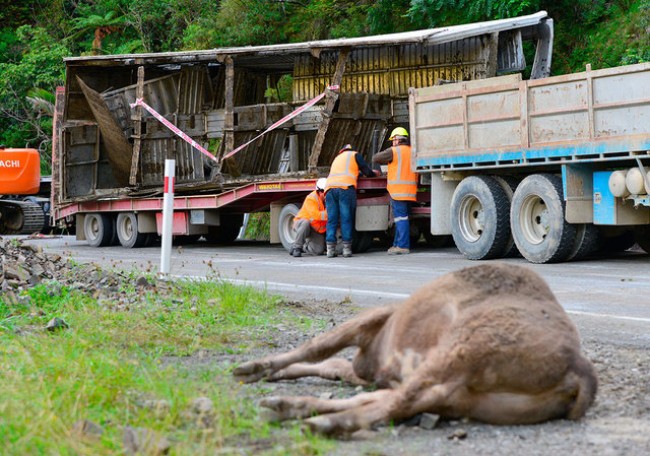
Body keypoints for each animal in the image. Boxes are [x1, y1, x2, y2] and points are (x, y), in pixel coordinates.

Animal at [234, 264, 596, 434]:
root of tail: (578, 368)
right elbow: (331, 364)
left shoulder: (372, 320)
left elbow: (319, 347)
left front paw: (253, 368)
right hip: (472, 398)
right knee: (403, 400)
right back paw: (288, 407)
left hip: (461, 350)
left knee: (398, 401)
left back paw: (317, 422)